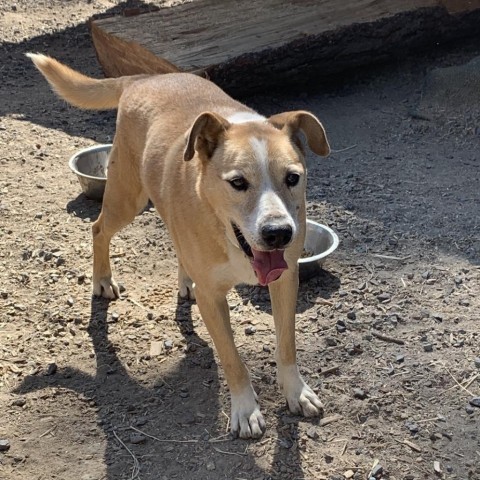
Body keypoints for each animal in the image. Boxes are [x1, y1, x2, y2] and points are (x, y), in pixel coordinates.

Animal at [28, 53, 330, 438]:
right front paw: (245, 409)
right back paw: (103, 281)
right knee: (98, 229)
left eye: (293, 178)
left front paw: (295, 392)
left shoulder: (285, 279)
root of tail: (141, 79)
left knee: (175, 245)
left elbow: (287, 344)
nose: (278, 233)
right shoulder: (213, 299)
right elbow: (232, 359)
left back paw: (185, 281)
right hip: (127, 198)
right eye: (238, 182)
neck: (231, 239)